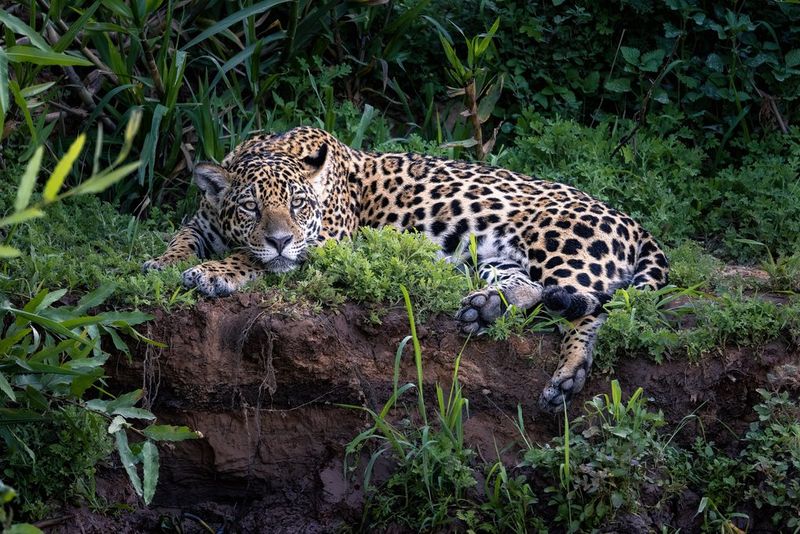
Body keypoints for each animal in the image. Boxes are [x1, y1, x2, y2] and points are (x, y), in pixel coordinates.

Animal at [143, 126, 669, 412]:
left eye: (297, 206)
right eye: (251, 207)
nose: (280, 238)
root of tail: (635, 222)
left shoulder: (330, 244)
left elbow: (251, 258)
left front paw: (215, 272)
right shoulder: (200, 222)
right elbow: (181, 240)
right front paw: (160, 264)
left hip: (558, 243)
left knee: (588, 306)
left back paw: (569, 371)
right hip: (496, 257)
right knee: (535, 292)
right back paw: (486, 310)